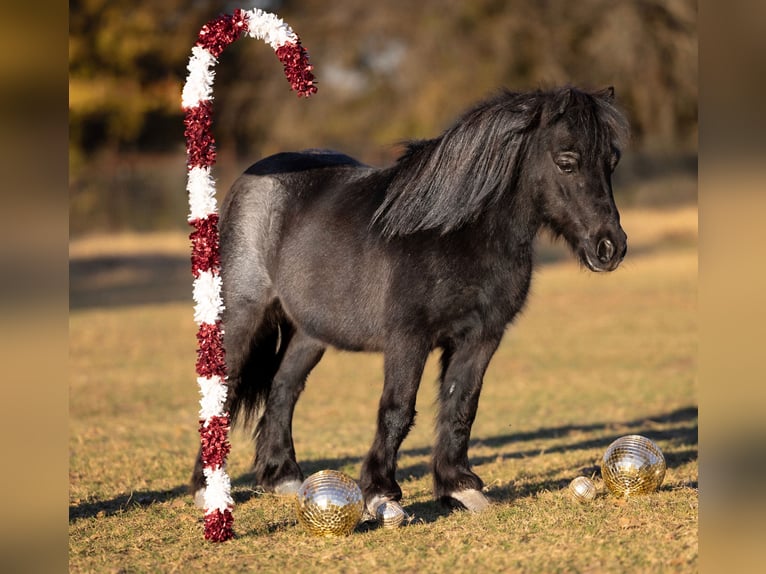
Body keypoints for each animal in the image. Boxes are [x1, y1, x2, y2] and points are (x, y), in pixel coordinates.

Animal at [191, 86, 629, 517]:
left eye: (612, 161)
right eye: (567, 161)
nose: (610, 247)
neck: (451, 233)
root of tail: (252, 180)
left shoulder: (481, 337)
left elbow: (461, 405)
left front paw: (460, 487)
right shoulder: (408, 338)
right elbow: (398, 409)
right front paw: (381, 494)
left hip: (311, 331)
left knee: (284, 388)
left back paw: (282, 476)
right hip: (243, 313)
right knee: (224, 387)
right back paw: (207, 488)